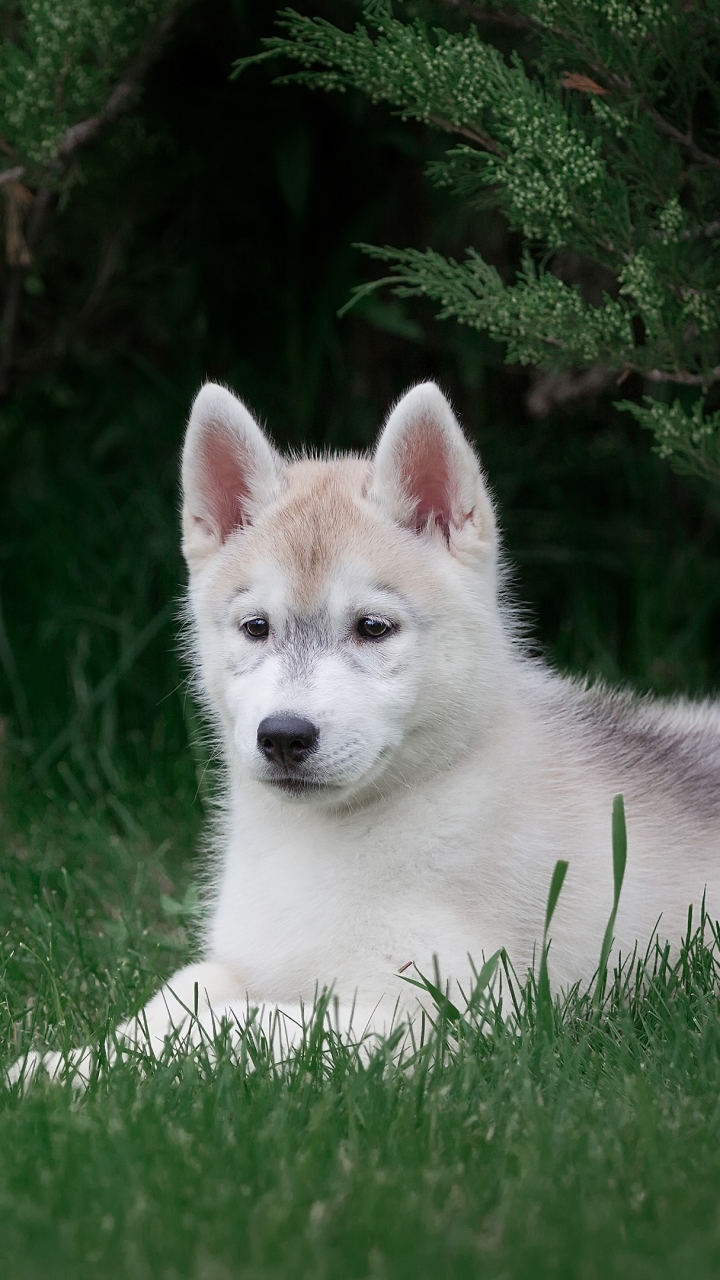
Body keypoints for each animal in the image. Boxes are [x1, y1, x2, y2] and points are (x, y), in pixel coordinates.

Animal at [8, 381, 717, 1080]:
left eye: (372, 627)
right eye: (256, 627)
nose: (283, 736)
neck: (324, 841)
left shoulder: (444, 1011)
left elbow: (234, 1030)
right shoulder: (248, 957)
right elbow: (185, 991)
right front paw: (65, 1061)